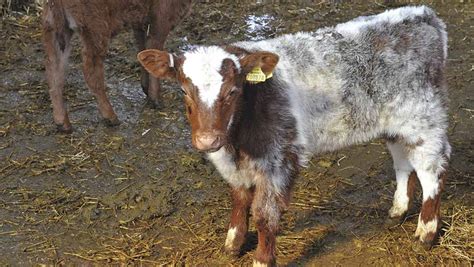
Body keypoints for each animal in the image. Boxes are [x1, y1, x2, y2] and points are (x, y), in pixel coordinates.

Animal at [42, 0, 193, 133]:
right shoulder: (159, 21)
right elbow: (155, 53)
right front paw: (156, 100)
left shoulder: (141, 23)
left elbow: (143, 51)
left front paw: (146, 89)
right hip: (96, 29)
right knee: (90, 72)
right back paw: (111, 117)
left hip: (55, 29)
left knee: (54, 70)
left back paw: (63, 123)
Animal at [136, 5, 448, 266]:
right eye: (184, 91)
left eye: (233, 91)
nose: (207, 141)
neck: (236, 142)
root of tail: (424, 14)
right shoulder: (234, 165)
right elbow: (239, 199)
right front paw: (233, 244)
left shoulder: (278, 160)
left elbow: (264, 214)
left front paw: (262, 259)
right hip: (395, 125)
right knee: (403, 162)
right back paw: (397, 211)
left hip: (423, 119)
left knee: (431, 171)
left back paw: (425, 234)